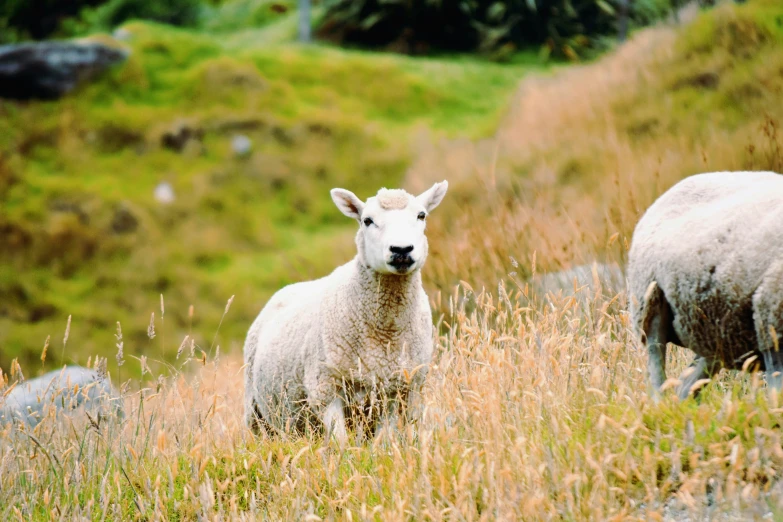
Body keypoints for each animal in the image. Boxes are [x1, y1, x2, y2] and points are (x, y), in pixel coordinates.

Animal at [242, 180, 450, 442]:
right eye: (367, 220)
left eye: (421, 215)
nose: (401, 249)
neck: (385, 332)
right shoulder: (326, 389)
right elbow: (340, 443)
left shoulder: (396, 392)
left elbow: (382, 442)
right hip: (254, 410)